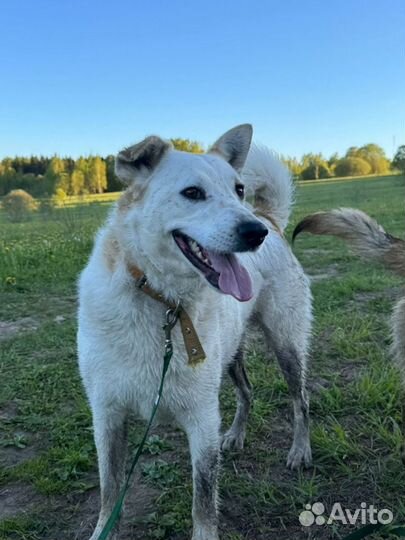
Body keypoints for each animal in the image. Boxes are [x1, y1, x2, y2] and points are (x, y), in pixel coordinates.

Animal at [79, 125, 312, 540]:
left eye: (238, 189)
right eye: (192, 193)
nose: (254, 233)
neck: (163, 302)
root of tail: (270, 217)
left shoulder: (202, 420)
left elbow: (203, 498)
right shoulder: (107, 416)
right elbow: (109, 491)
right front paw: (104, 529)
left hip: (286, 345)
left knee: (301, 400)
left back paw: (300, 450)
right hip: (232, 353)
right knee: (247, 392)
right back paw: (235, 435)